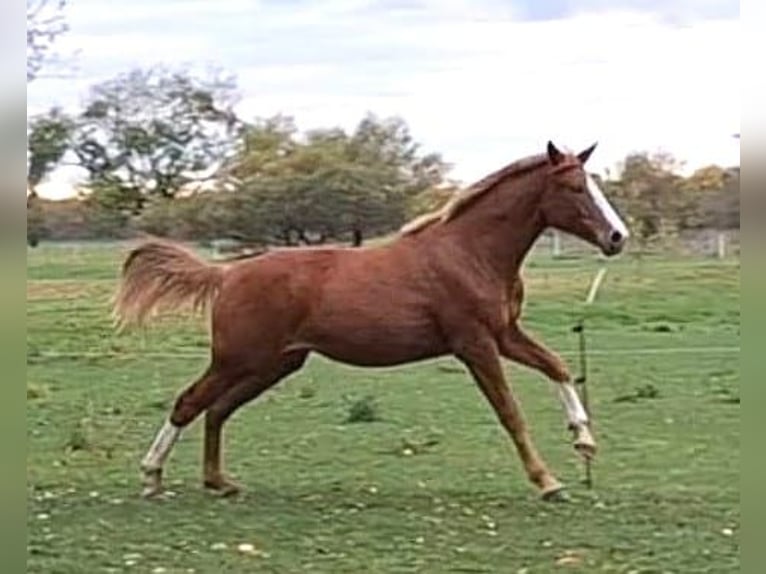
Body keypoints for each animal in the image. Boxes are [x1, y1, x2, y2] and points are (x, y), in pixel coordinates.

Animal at [113, 141, 629, 501]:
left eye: (594, 184)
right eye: (574, 187)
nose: (617, 237)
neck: (469, 252)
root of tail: (226, 273)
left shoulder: (504, 335)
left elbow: (558, 365)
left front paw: (584, 441)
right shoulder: (475, 344)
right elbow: (510, 412)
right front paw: (547, 481)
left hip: (274, 364)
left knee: (217, 410)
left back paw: (219, 482)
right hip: (237, 360)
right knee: (189, 403)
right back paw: (152, 477)